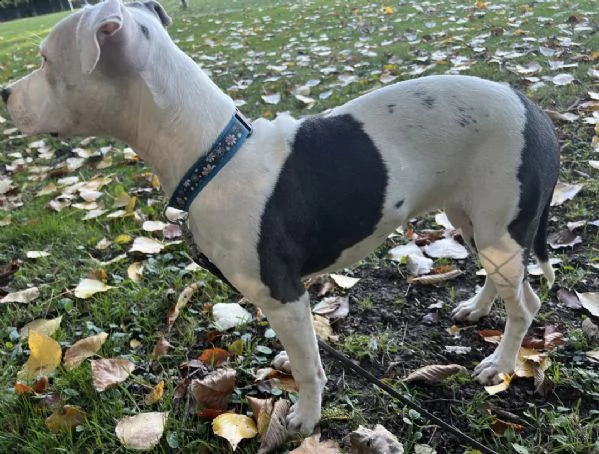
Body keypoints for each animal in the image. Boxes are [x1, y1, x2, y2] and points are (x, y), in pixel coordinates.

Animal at [1, 0, 564, 434]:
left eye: (46, 60)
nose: (5, 94)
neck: (215, 156)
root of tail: (531, 108)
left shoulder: (284, 295)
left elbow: (309, 367)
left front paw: (305, 419)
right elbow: (299, 357)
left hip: (499, 225)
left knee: (527, 303)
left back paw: (500, 363)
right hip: (473, 218)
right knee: (501, 278)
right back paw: (477, 308)